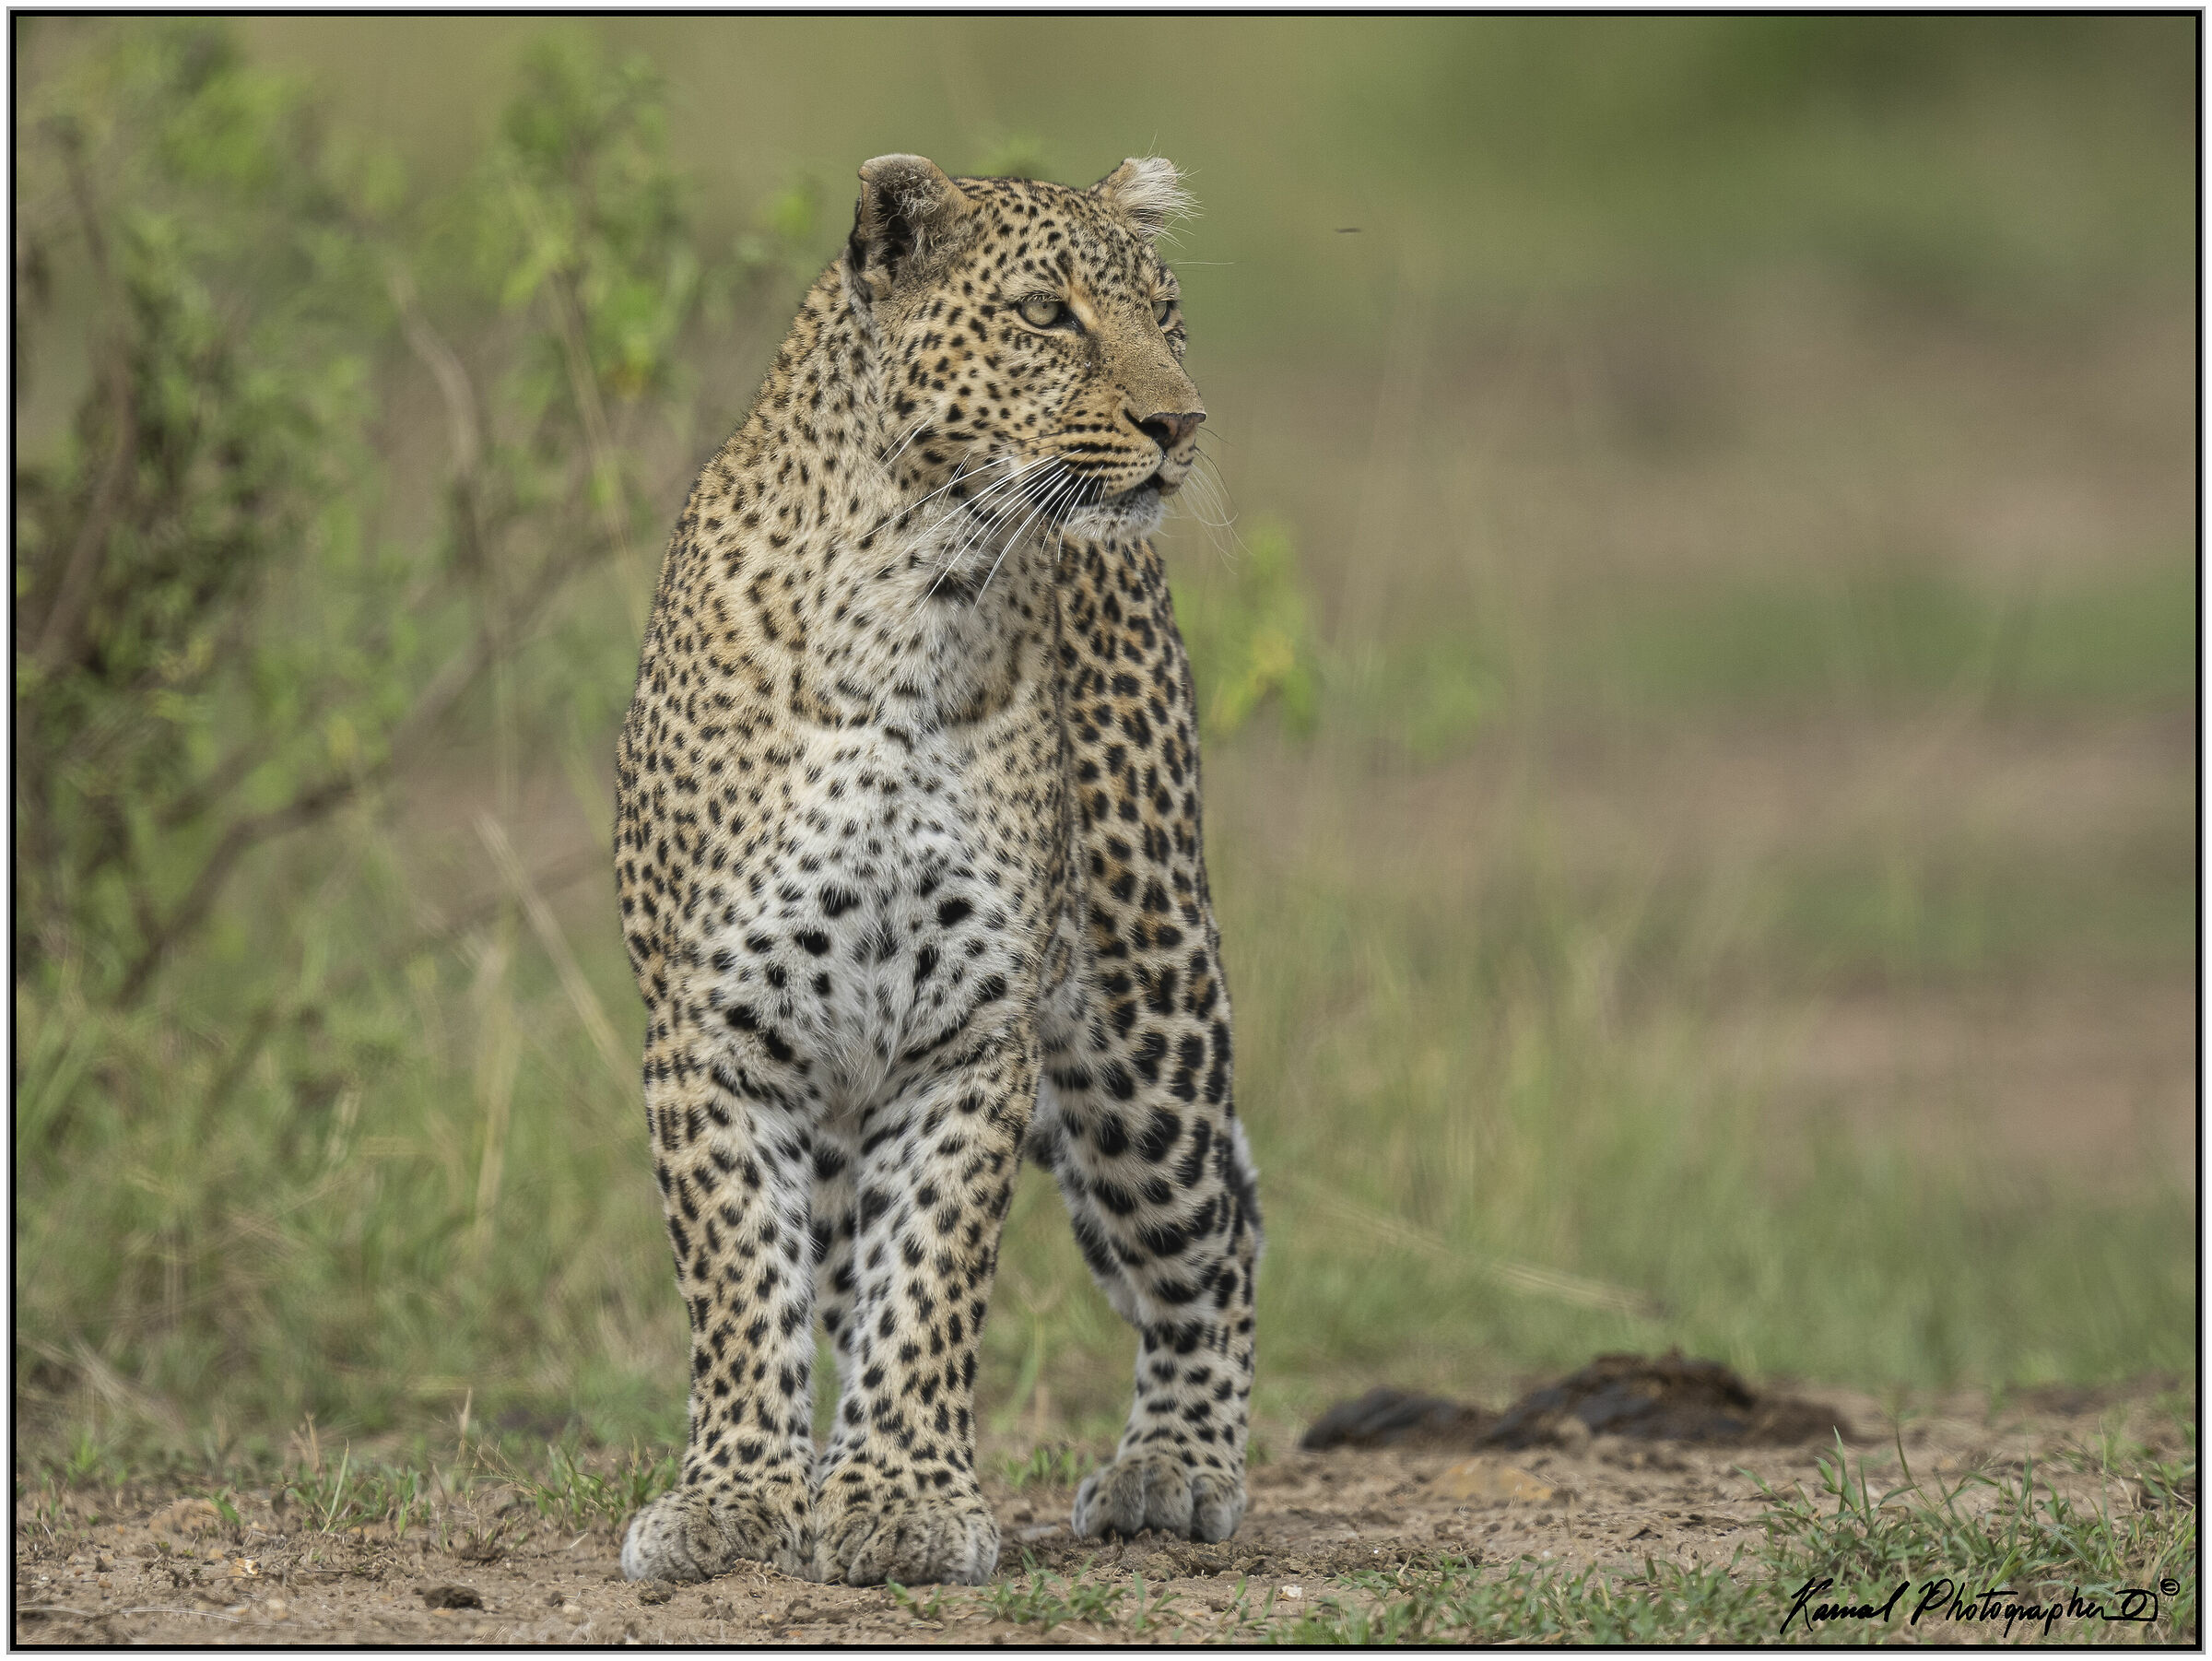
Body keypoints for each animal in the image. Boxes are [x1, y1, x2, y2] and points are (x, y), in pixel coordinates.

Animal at [612, 152, 1262, 1590]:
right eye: (1047, 313)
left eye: (1166, 313)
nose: (1182, 421)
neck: (915, 599)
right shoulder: (715, 1025)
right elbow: (742, 1279)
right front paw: (734, 1496)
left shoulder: (972, 1028)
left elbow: (933, 1274)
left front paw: (906, 1496)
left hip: (1145, 1010)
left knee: (1218, 1234)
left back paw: (1174, 1467)